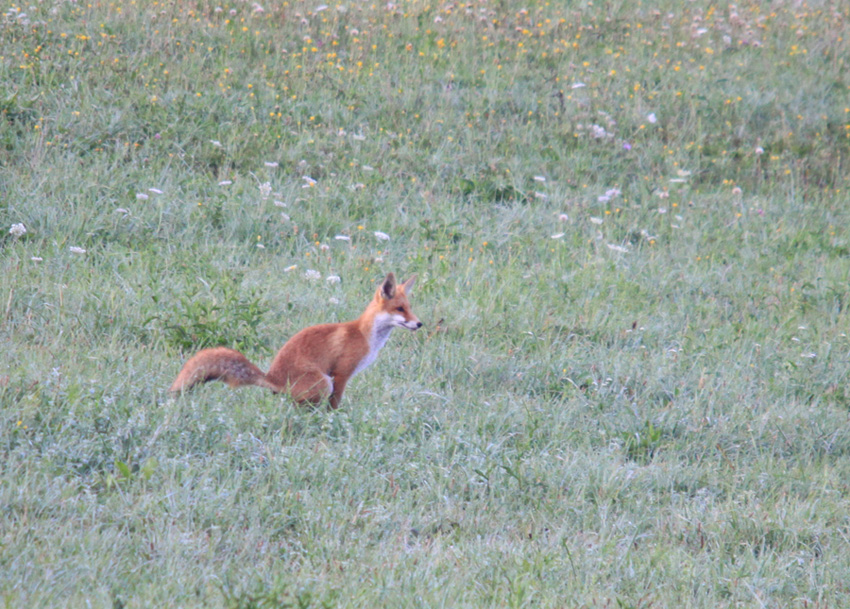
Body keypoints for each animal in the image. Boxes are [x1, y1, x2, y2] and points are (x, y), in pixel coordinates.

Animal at [169, 272, 420, 408]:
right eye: (399, 309)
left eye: (409, 308)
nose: (419, 324)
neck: (365, 335)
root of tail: (272, 378)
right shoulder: (341, 374)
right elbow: (335, 405)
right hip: (323, 382)